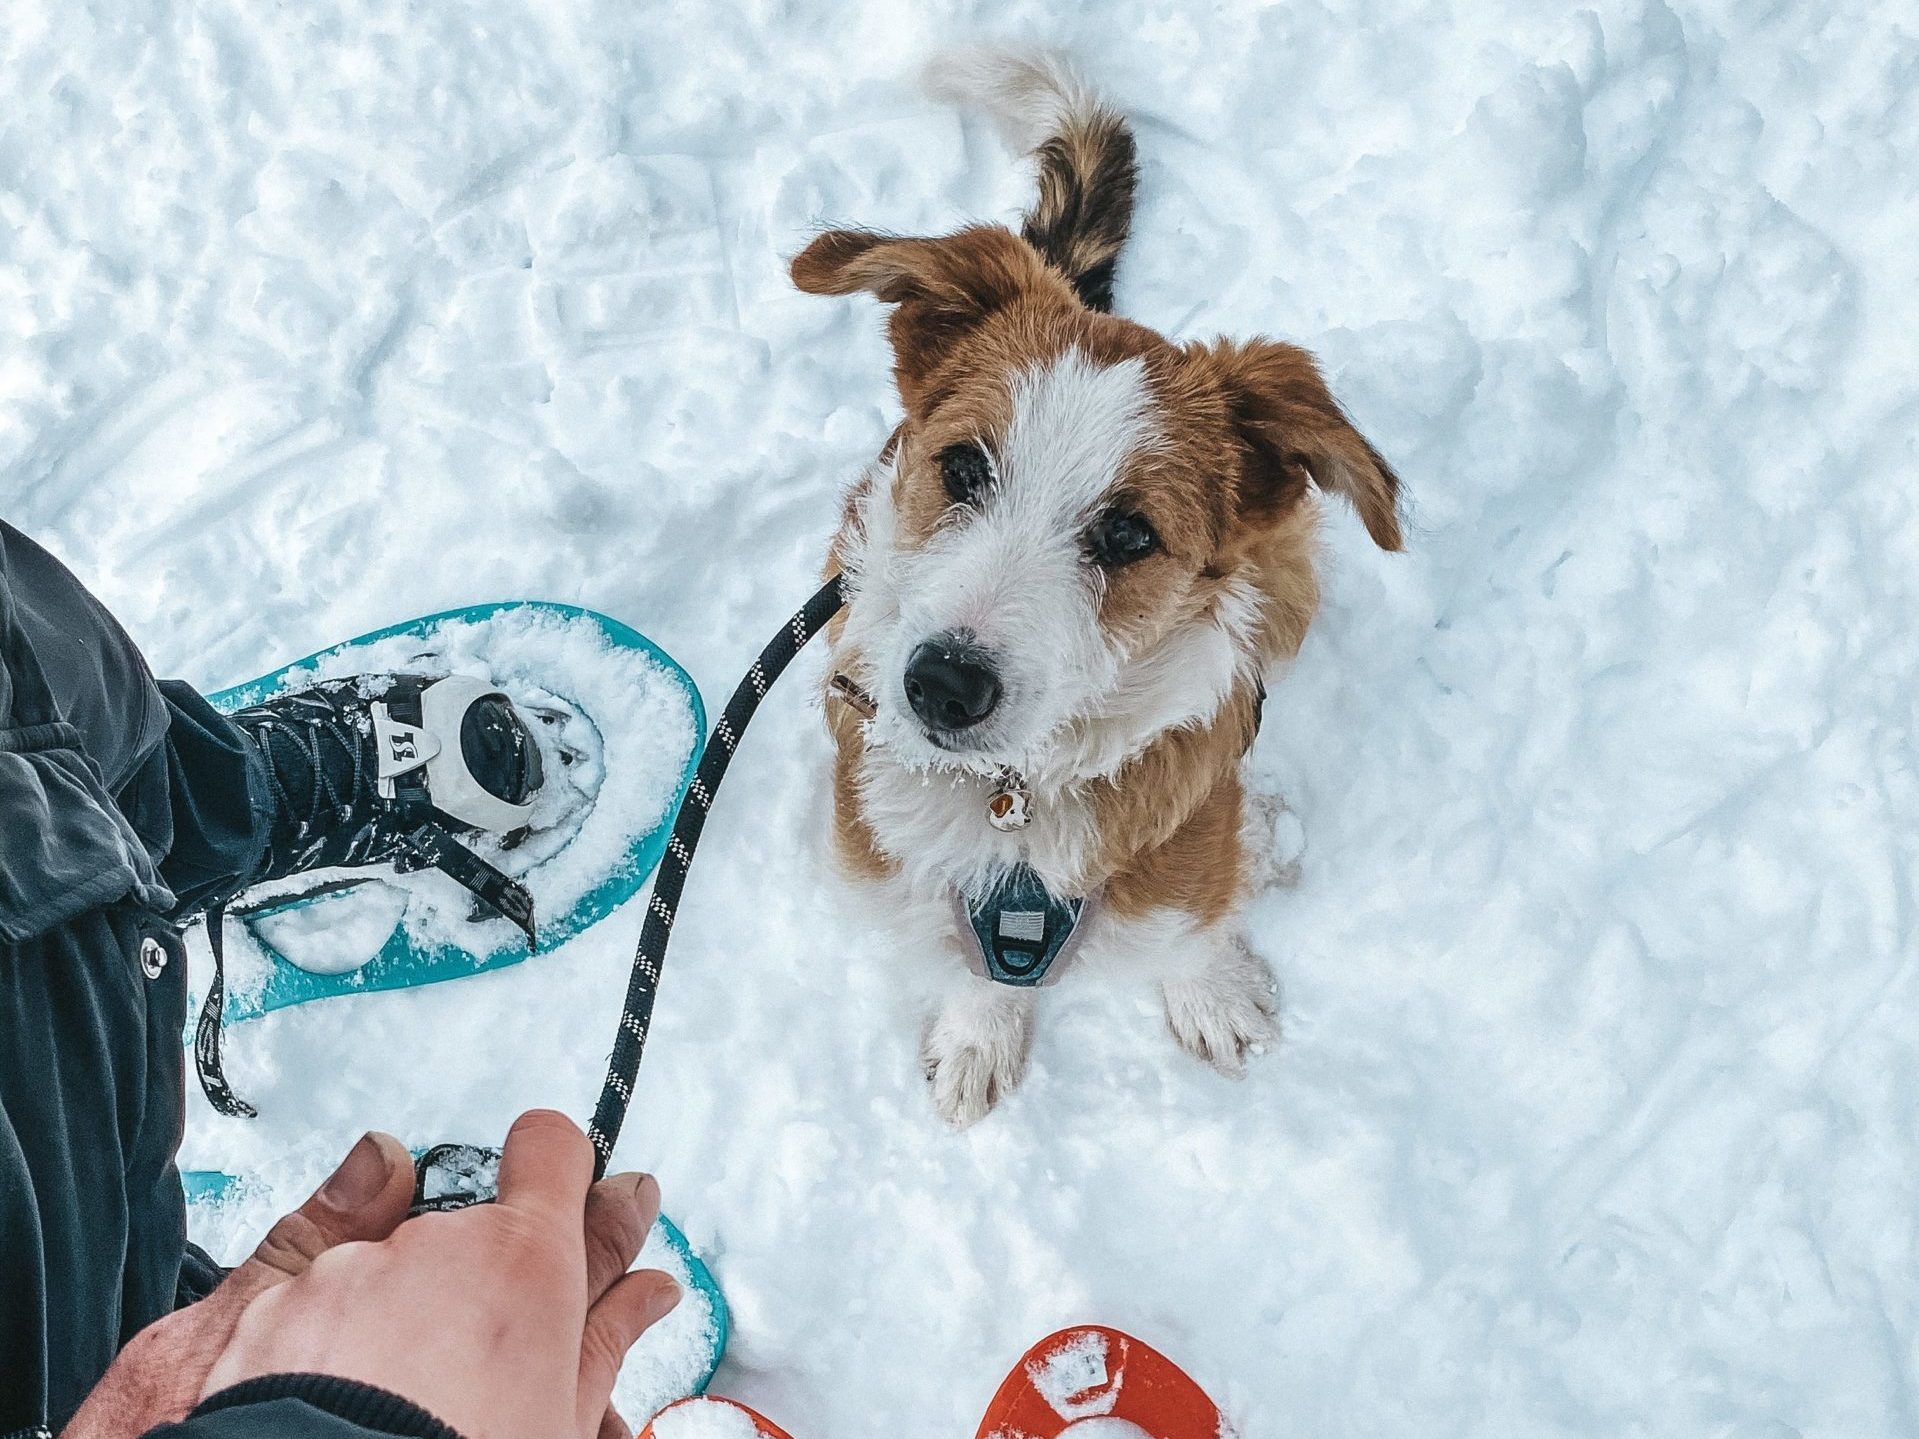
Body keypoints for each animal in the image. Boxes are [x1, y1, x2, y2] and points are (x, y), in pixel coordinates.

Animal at [786, 53, 1404, 1128]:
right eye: (962, 467)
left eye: (1127, 533)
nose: (942, 685)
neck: (1016, 799)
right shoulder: (882, 858)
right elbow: (969, 969)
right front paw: (979, 1033)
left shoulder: (1190, 829)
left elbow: (1192, 921)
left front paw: (1213, 992)